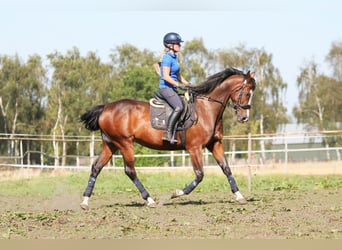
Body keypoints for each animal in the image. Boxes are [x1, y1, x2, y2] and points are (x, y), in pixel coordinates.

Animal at [79, 67, 255, 209]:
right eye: (247, 93)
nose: (244, 117)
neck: (207, 109)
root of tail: (105, 108)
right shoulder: (194, 148)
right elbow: (199, 175)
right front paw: (175, 193)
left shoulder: (215, 144)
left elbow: (226, 168)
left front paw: (239, 196)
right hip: (124, 143)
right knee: (130, 171)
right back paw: (150, 200)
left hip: (110, 144)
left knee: (96, 167)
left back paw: (85, 201)